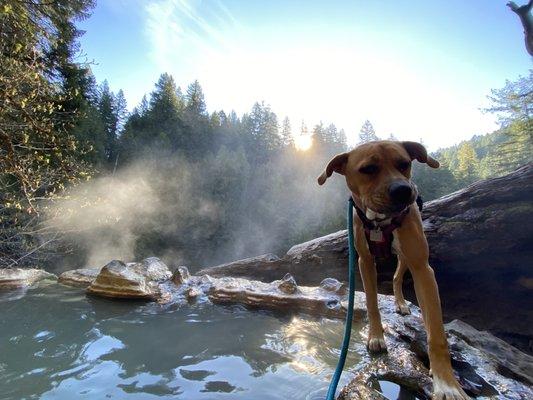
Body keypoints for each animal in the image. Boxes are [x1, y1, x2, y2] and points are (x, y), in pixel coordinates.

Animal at [318, 141, 468, 400]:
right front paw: (376, 337)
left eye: (404, 164)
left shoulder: (422, 268)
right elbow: (371, 303)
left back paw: (402, 304)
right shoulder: (364, 261)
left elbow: (437, 332)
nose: (403, 191)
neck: (380, 222)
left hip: (408, 257)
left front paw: (447, 383)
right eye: (368, 169)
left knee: (399, 278)